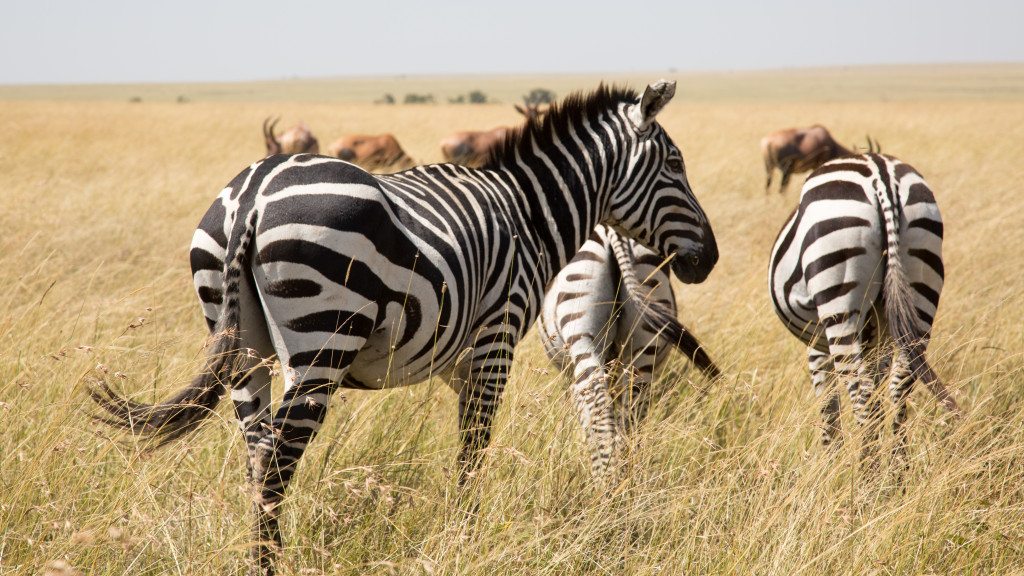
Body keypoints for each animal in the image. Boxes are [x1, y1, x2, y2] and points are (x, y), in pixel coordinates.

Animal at [536, 222, 720, 477]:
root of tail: (612, 235)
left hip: (582, 329)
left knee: (598, 406)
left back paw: (607, 478)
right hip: (643, 341)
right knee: (631, 415)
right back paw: (628, 475)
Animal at [770, 151, 962, 461]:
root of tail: (881, 176)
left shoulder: (816, 343)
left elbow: (828, 406)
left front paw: (830, 461)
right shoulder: (879, 344)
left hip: (838, 293)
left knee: (862, 399)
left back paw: (864, 471)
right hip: (921, 278)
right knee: (899, 387)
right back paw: (895, 470)